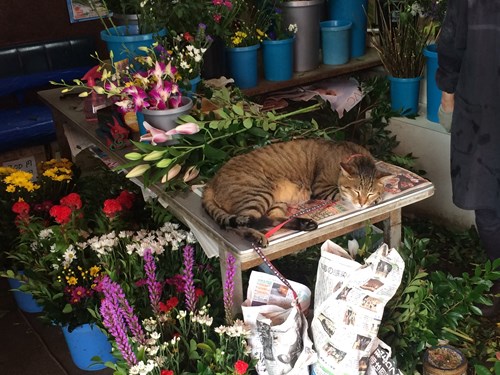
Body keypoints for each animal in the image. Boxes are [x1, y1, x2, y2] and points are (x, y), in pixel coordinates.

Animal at [201, 138, 392, 247]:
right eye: (356, 191)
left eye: (370, 192)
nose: (362, 203)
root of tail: (211, 182)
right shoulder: (321, 187)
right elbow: (340, 195)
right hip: (259, 195)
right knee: (242, 224)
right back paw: (257, 237)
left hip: (276, 201)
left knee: (269, 220)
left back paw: (304, 224)